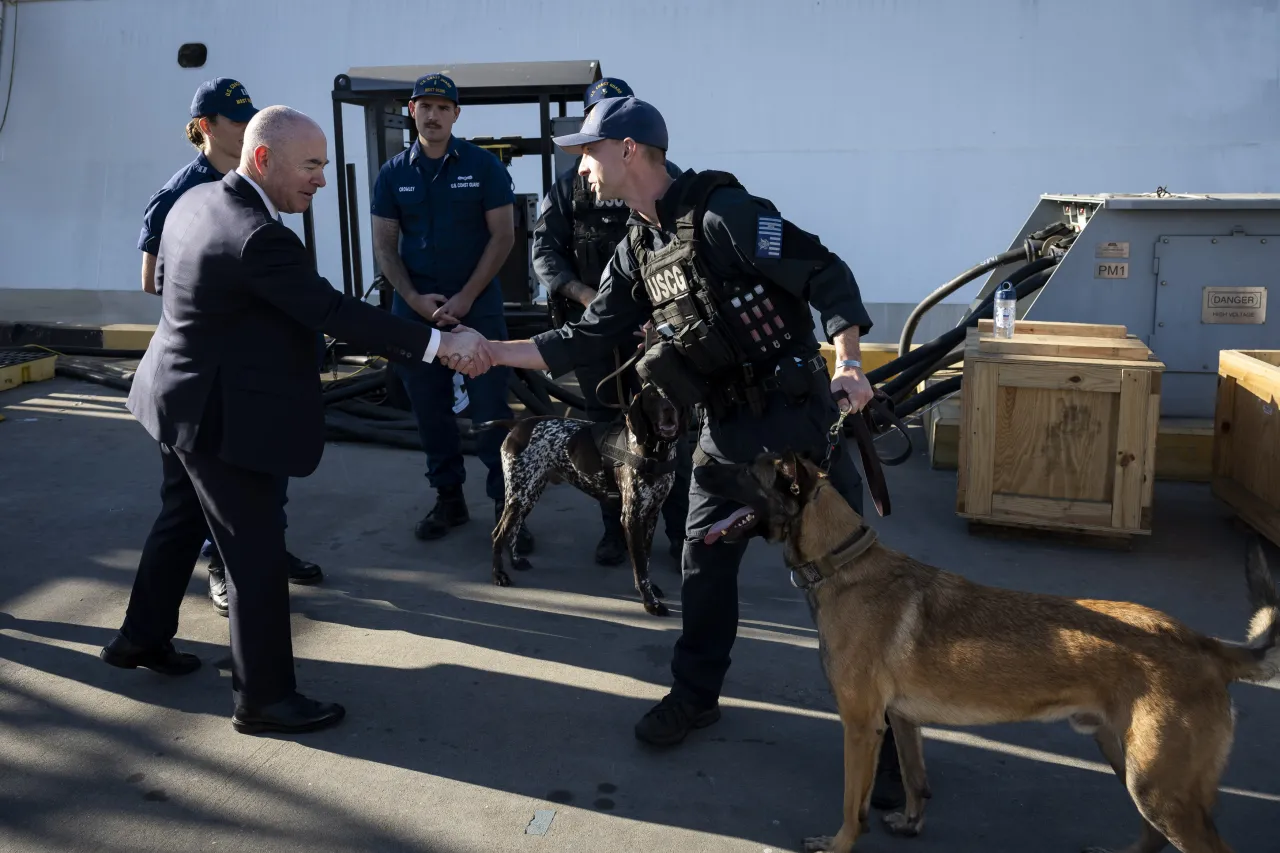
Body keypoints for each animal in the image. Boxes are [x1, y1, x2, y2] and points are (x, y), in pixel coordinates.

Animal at [476, 381, 686, 614]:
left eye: (673, 395)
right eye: (651, 397)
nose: (669, 409)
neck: (654, 453)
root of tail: (518, 424)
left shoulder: (651, 515)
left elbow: (645, 560)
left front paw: (650, 590)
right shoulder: (632, 518)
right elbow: (640, 566)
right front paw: (650, 602)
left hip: (529, 494)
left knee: (512, 529)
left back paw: (515, 561)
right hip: (519, 495)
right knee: (498, 534)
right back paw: (498, 575)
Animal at [696, 448, 1274, 845]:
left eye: (747, 470)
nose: (701, 462)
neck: (843, 561)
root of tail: (1204, 644)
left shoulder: (860, 727)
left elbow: (850, 808)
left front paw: (837, 844)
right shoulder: (901, 721)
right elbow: (915, 779)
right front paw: (911, 823)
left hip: (1156, 786)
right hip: (1128, 762)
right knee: (1152, 837)